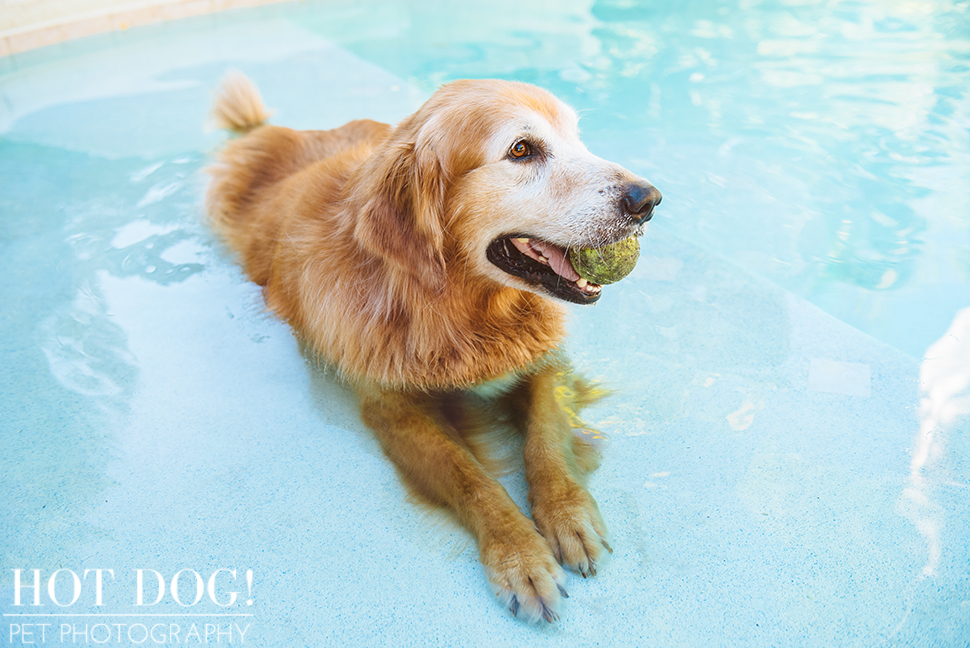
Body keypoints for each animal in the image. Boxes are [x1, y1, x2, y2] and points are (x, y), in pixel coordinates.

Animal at [203, 72, 656, 624]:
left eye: (576, 137)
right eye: (521, 150)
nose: (648, 199)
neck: (462, 311)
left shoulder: (547, 362)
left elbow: (546, 440)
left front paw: (569, 515)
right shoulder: (393, 409)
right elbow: (471, 479)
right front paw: (519, 556)